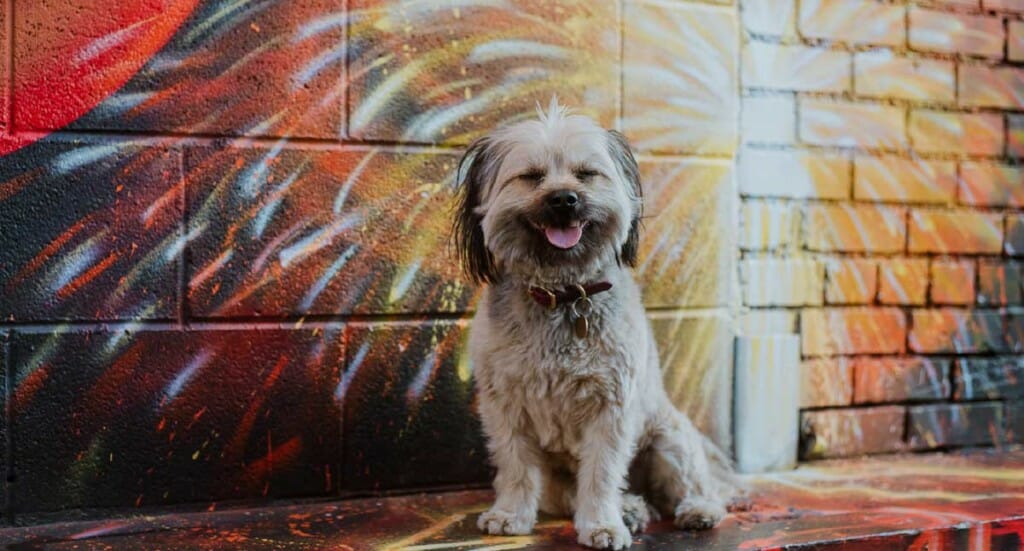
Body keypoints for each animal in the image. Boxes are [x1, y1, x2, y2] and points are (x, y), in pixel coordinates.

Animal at [452, 99, 741, 548]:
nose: (565, 199)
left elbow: (602, 473)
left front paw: (603, 524)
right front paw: (510, 515)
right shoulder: (505, 406)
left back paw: (693, 509)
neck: (564, 293)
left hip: (670, 439)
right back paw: (634, 508)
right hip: (559, 482)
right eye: (531, 176)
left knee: (692, 484)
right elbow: (515, 467)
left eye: (586, 173)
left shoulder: (612, 408)